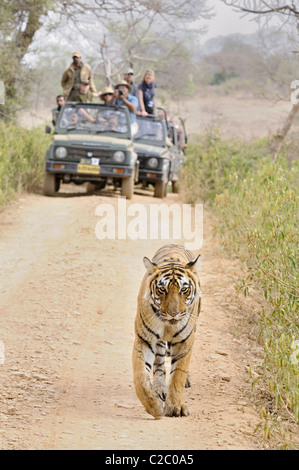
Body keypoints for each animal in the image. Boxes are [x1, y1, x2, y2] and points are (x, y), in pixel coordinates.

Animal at [133, 244, 202, 416]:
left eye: (184, 290)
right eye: (162, 290)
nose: (173, 313)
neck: (167, 324)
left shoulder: (185, 341)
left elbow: (178, 375)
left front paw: (176, 406)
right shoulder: (144, 340)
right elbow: (140, 377)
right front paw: (153, 405)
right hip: (158, 343)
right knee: (159, 365)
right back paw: (159, 390)